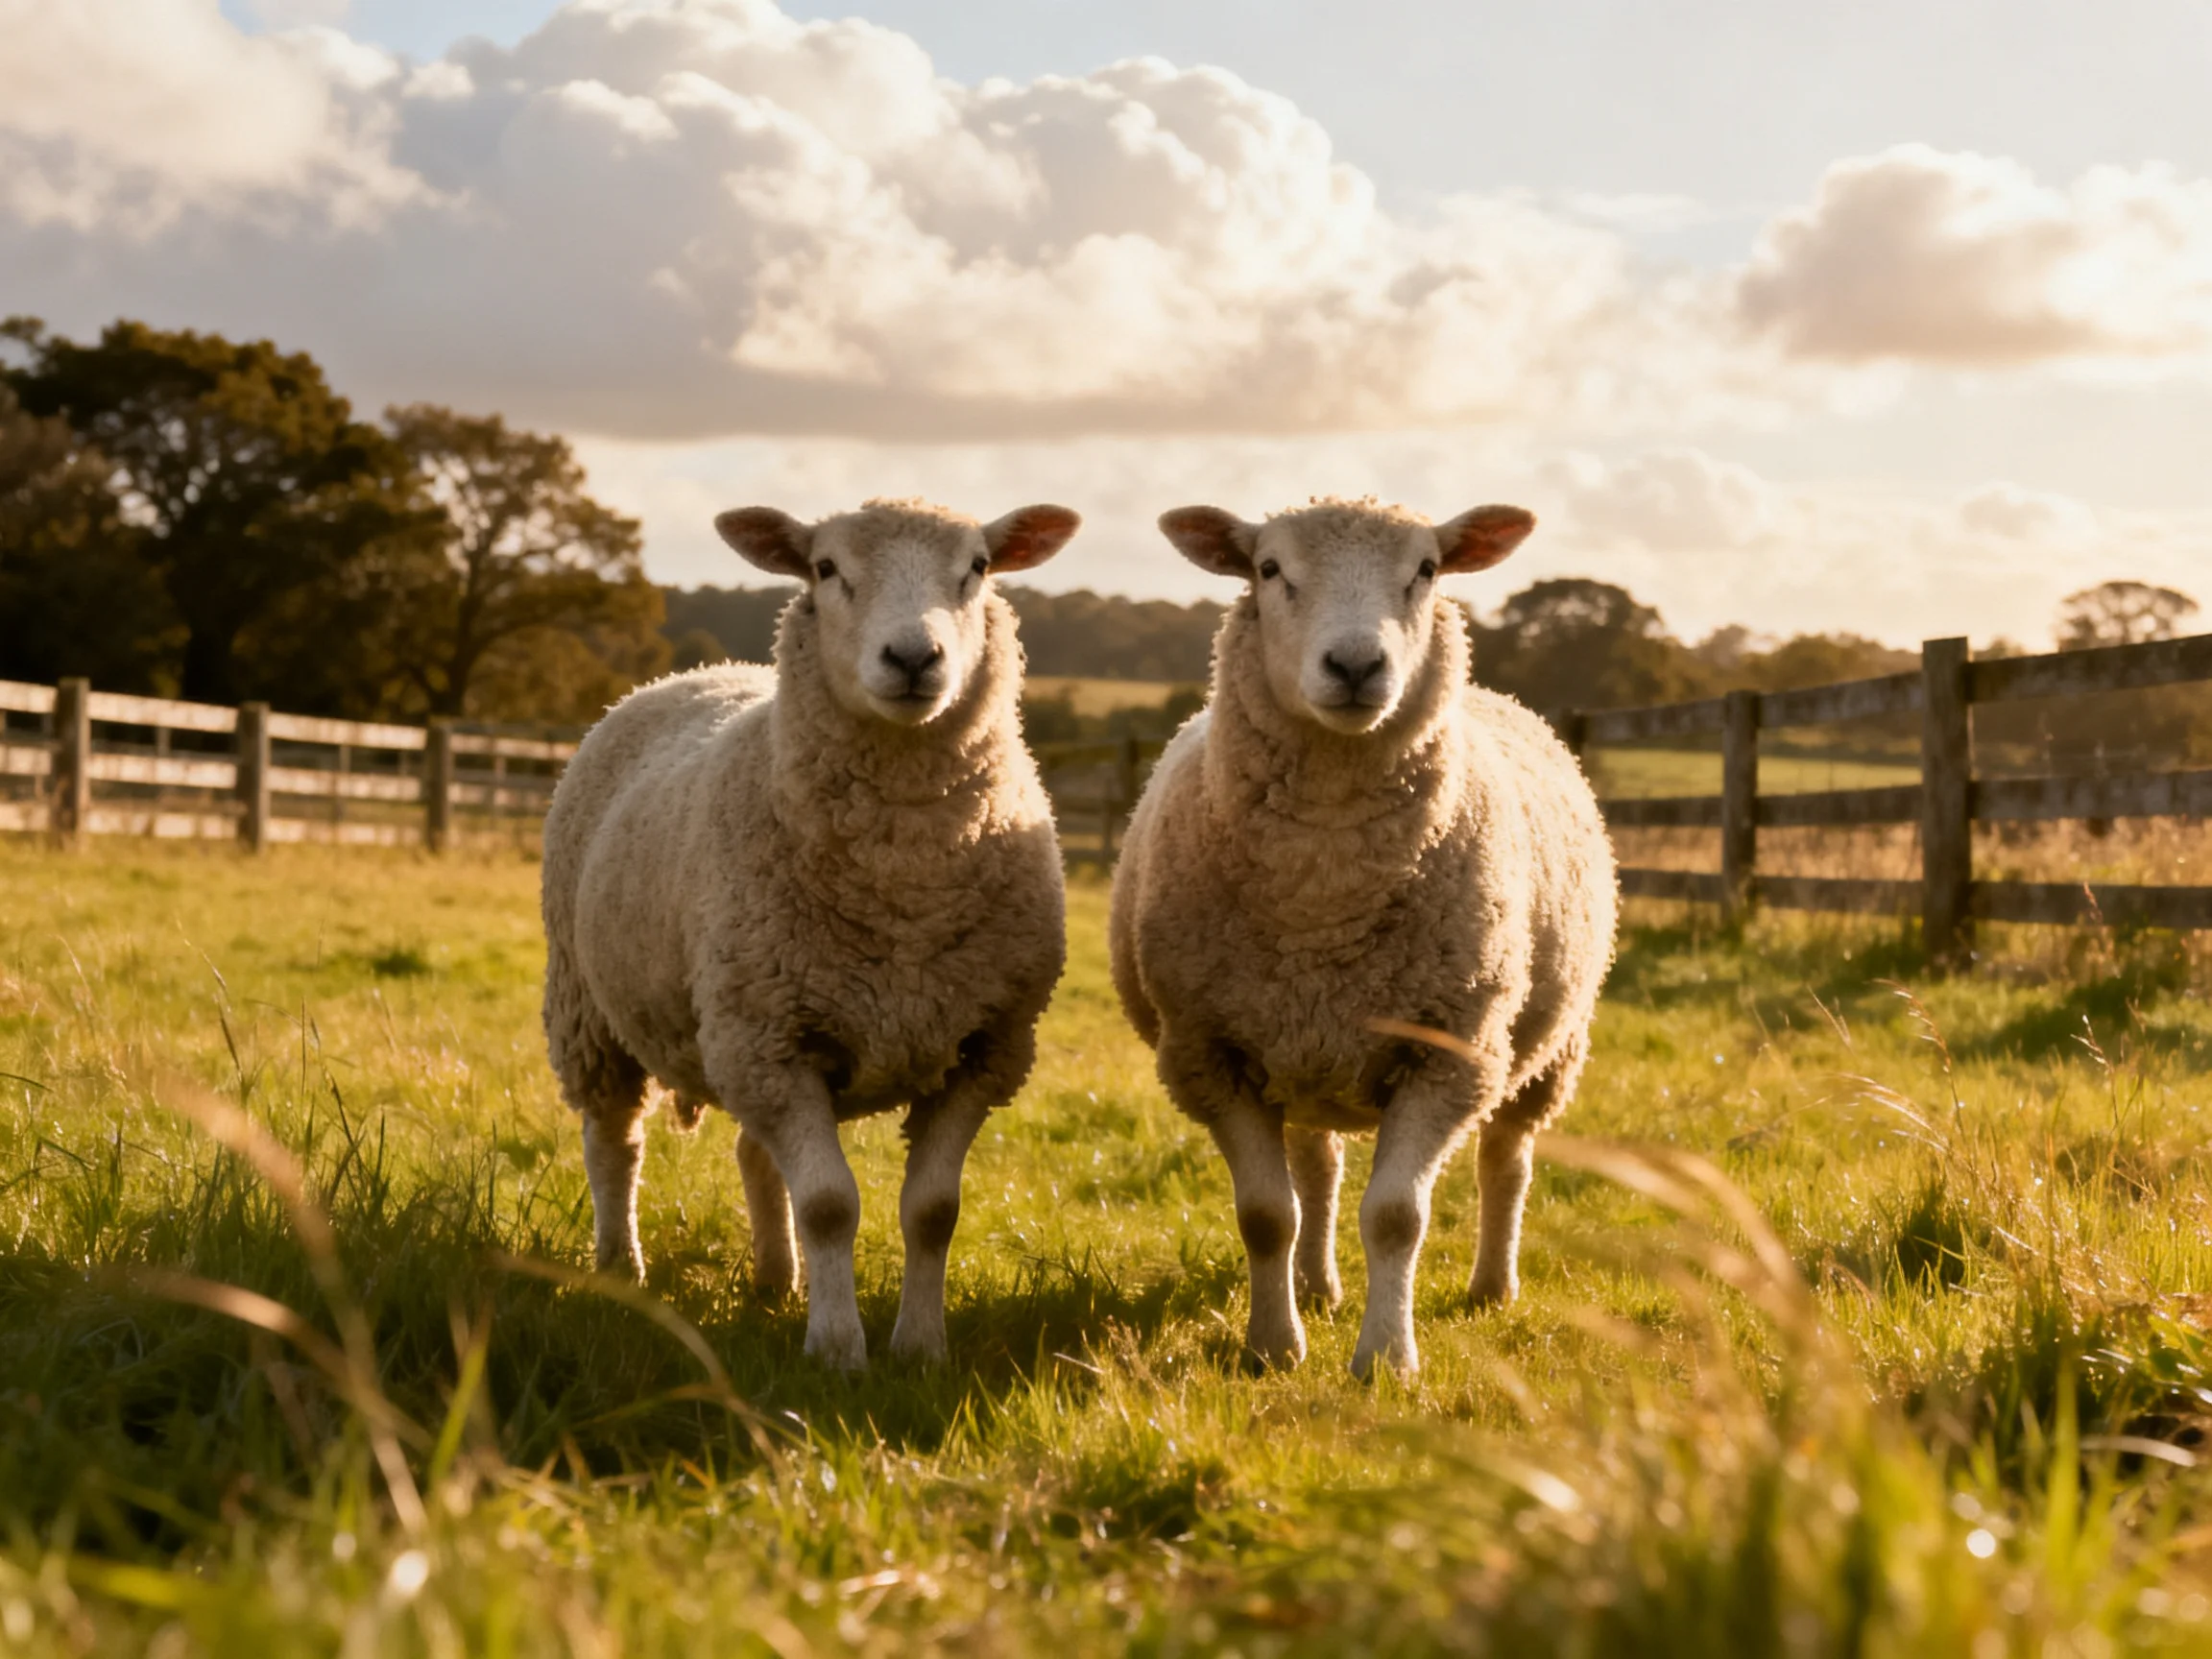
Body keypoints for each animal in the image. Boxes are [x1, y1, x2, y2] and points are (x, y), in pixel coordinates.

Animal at [541, 497, 1080, 1370]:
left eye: (977, 567)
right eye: (826, 569)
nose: (913, 656)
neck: (903, 885)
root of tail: (696, 672)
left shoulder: (980, 1049)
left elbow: (933, 1209)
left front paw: (919, 1348)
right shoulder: (774, 1044)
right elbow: (829, 1204)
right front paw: (835, 1350)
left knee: (753, 1153)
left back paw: (774, 1279)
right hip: (595, 1009)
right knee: (614, 1143)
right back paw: (622, 1266)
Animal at [1109, 497, 1617, 1379]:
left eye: (1427, 570)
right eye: (1268, 569)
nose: (1354, 665)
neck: (1325, 892)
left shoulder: (1449, 1052)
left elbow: (1395, 1217)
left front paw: (1387, 1357)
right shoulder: (1211, 1055)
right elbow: (1265, 1213)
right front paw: (1273, 1348)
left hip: (1548, 1050)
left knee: (1506, 1161)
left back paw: (1492, 1286)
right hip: (1303, 1057)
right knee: (1317, 1170)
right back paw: (1316, 1287)